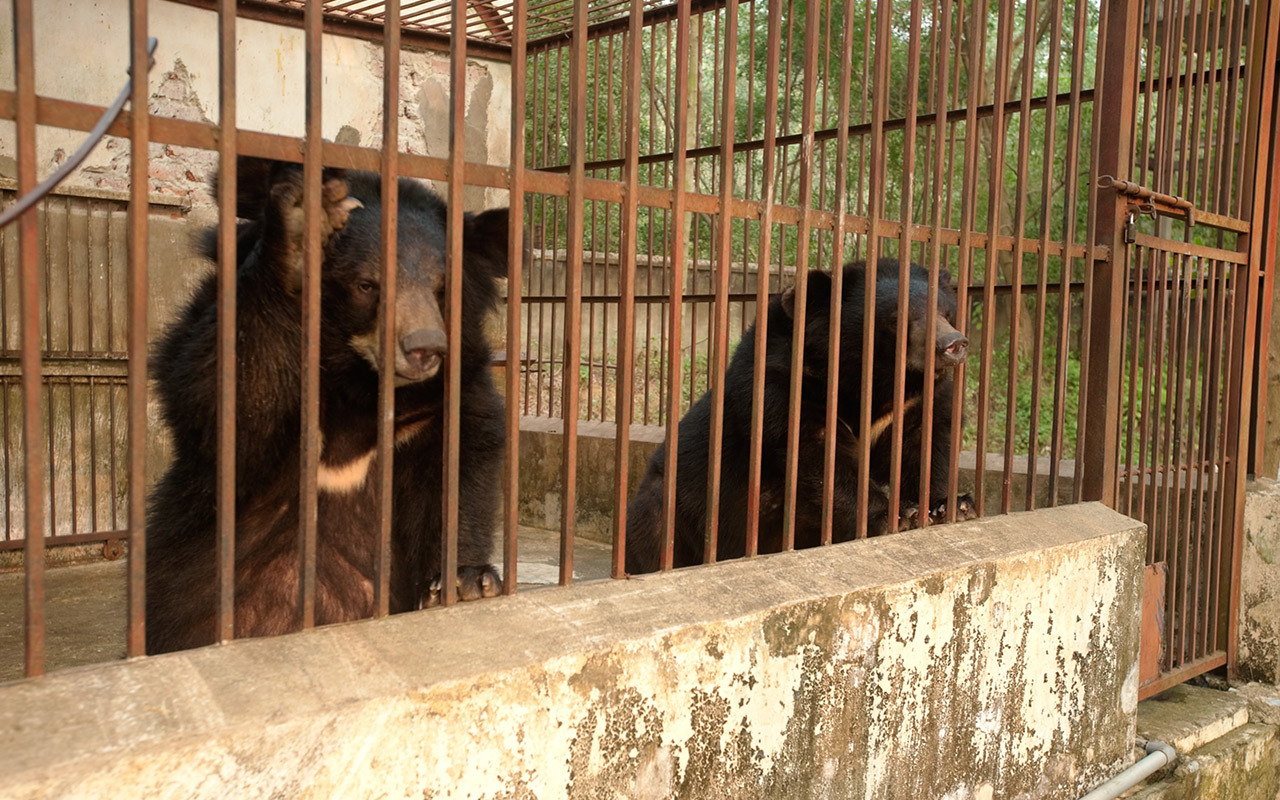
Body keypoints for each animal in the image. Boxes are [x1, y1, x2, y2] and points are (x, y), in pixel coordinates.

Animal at [146, 159, 514, 652]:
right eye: (367, 285)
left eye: (441, 288)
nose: (426, 349)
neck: (360, 384)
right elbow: (232, 404)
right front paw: (302, 228)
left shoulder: (447, 399)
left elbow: (462, 464)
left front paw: (467, 580)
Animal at [624, 258, 972, 570]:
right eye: (897, 319)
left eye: (945, 312)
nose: (953, 344)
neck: (870, 381)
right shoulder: (786, 385)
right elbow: (816, 455)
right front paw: (894, 516)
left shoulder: (916, 403)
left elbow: (923, 444)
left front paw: (949, 506)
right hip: (678, 503)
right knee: (654, 530)